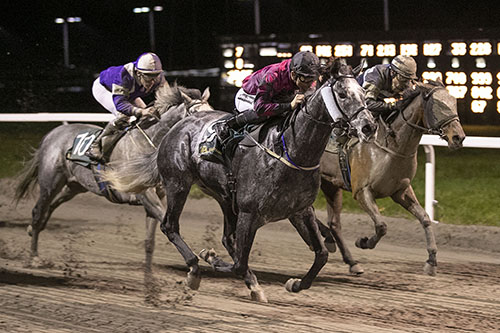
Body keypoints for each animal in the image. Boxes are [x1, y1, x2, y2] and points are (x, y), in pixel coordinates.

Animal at [13, 82, 213, 268]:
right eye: (197, 116)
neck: (151, 141)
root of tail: (52, 134)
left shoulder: (159, 196)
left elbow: (150, 241)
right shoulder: (145, 195)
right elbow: (166, 221)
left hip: (74, 186)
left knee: (53, 205)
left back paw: (33, 229)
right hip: (50, 182)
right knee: (38, 210)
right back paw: (34, 256)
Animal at [102, 58, 376, 302]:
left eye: (363, 93)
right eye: (342, 94)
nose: (369, 127)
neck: (291, 150)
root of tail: (176, 127)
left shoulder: (300, 210)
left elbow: (321, 254)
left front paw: (296, 283)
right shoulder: (249, 213)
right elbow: (238, 263)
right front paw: (209, 257)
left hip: (224, 196)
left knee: (227, 238)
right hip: (178, 183)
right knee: (170, 226)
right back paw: (195, 270)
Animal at [318, 78, 466, 274]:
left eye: (454, 102)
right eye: (438, 104)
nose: (458, 137)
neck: (392, 148)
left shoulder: (400, 190)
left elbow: (425, 219)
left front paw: (431, 261)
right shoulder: (362, 191)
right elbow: (382, 226)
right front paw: (363, 242)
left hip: (330, 184)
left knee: (333, 223)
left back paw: (348, 259)